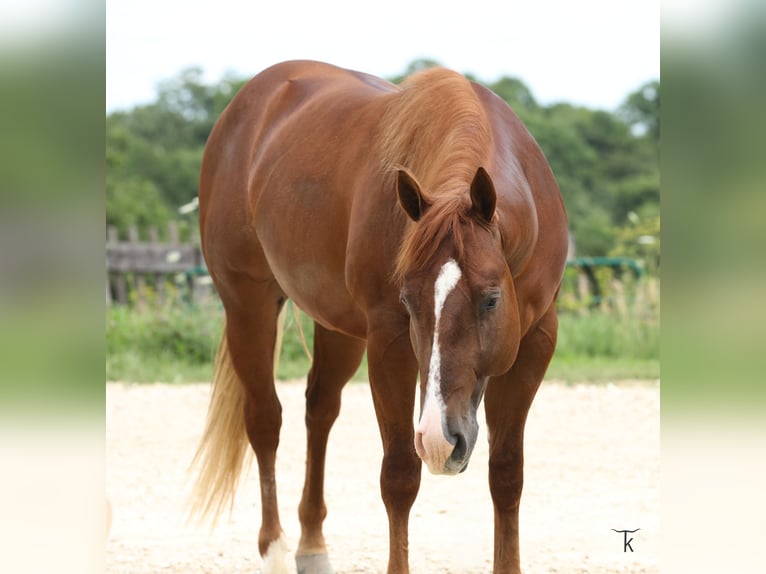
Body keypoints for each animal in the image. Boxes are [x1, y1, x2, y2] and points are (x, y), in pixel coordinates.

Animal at [189, 60, 568, 574]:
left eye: (491, 299)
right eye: (408, 301)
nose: (441, 440)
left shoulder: (535, 342)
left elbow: (507, 473)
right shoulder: (389, 343)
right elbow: (400, 475)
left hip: (338, 328)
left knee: (319, 410)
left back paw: (312, 545)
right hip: (248, 306)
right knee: (265, 421)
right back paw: (276, 548)